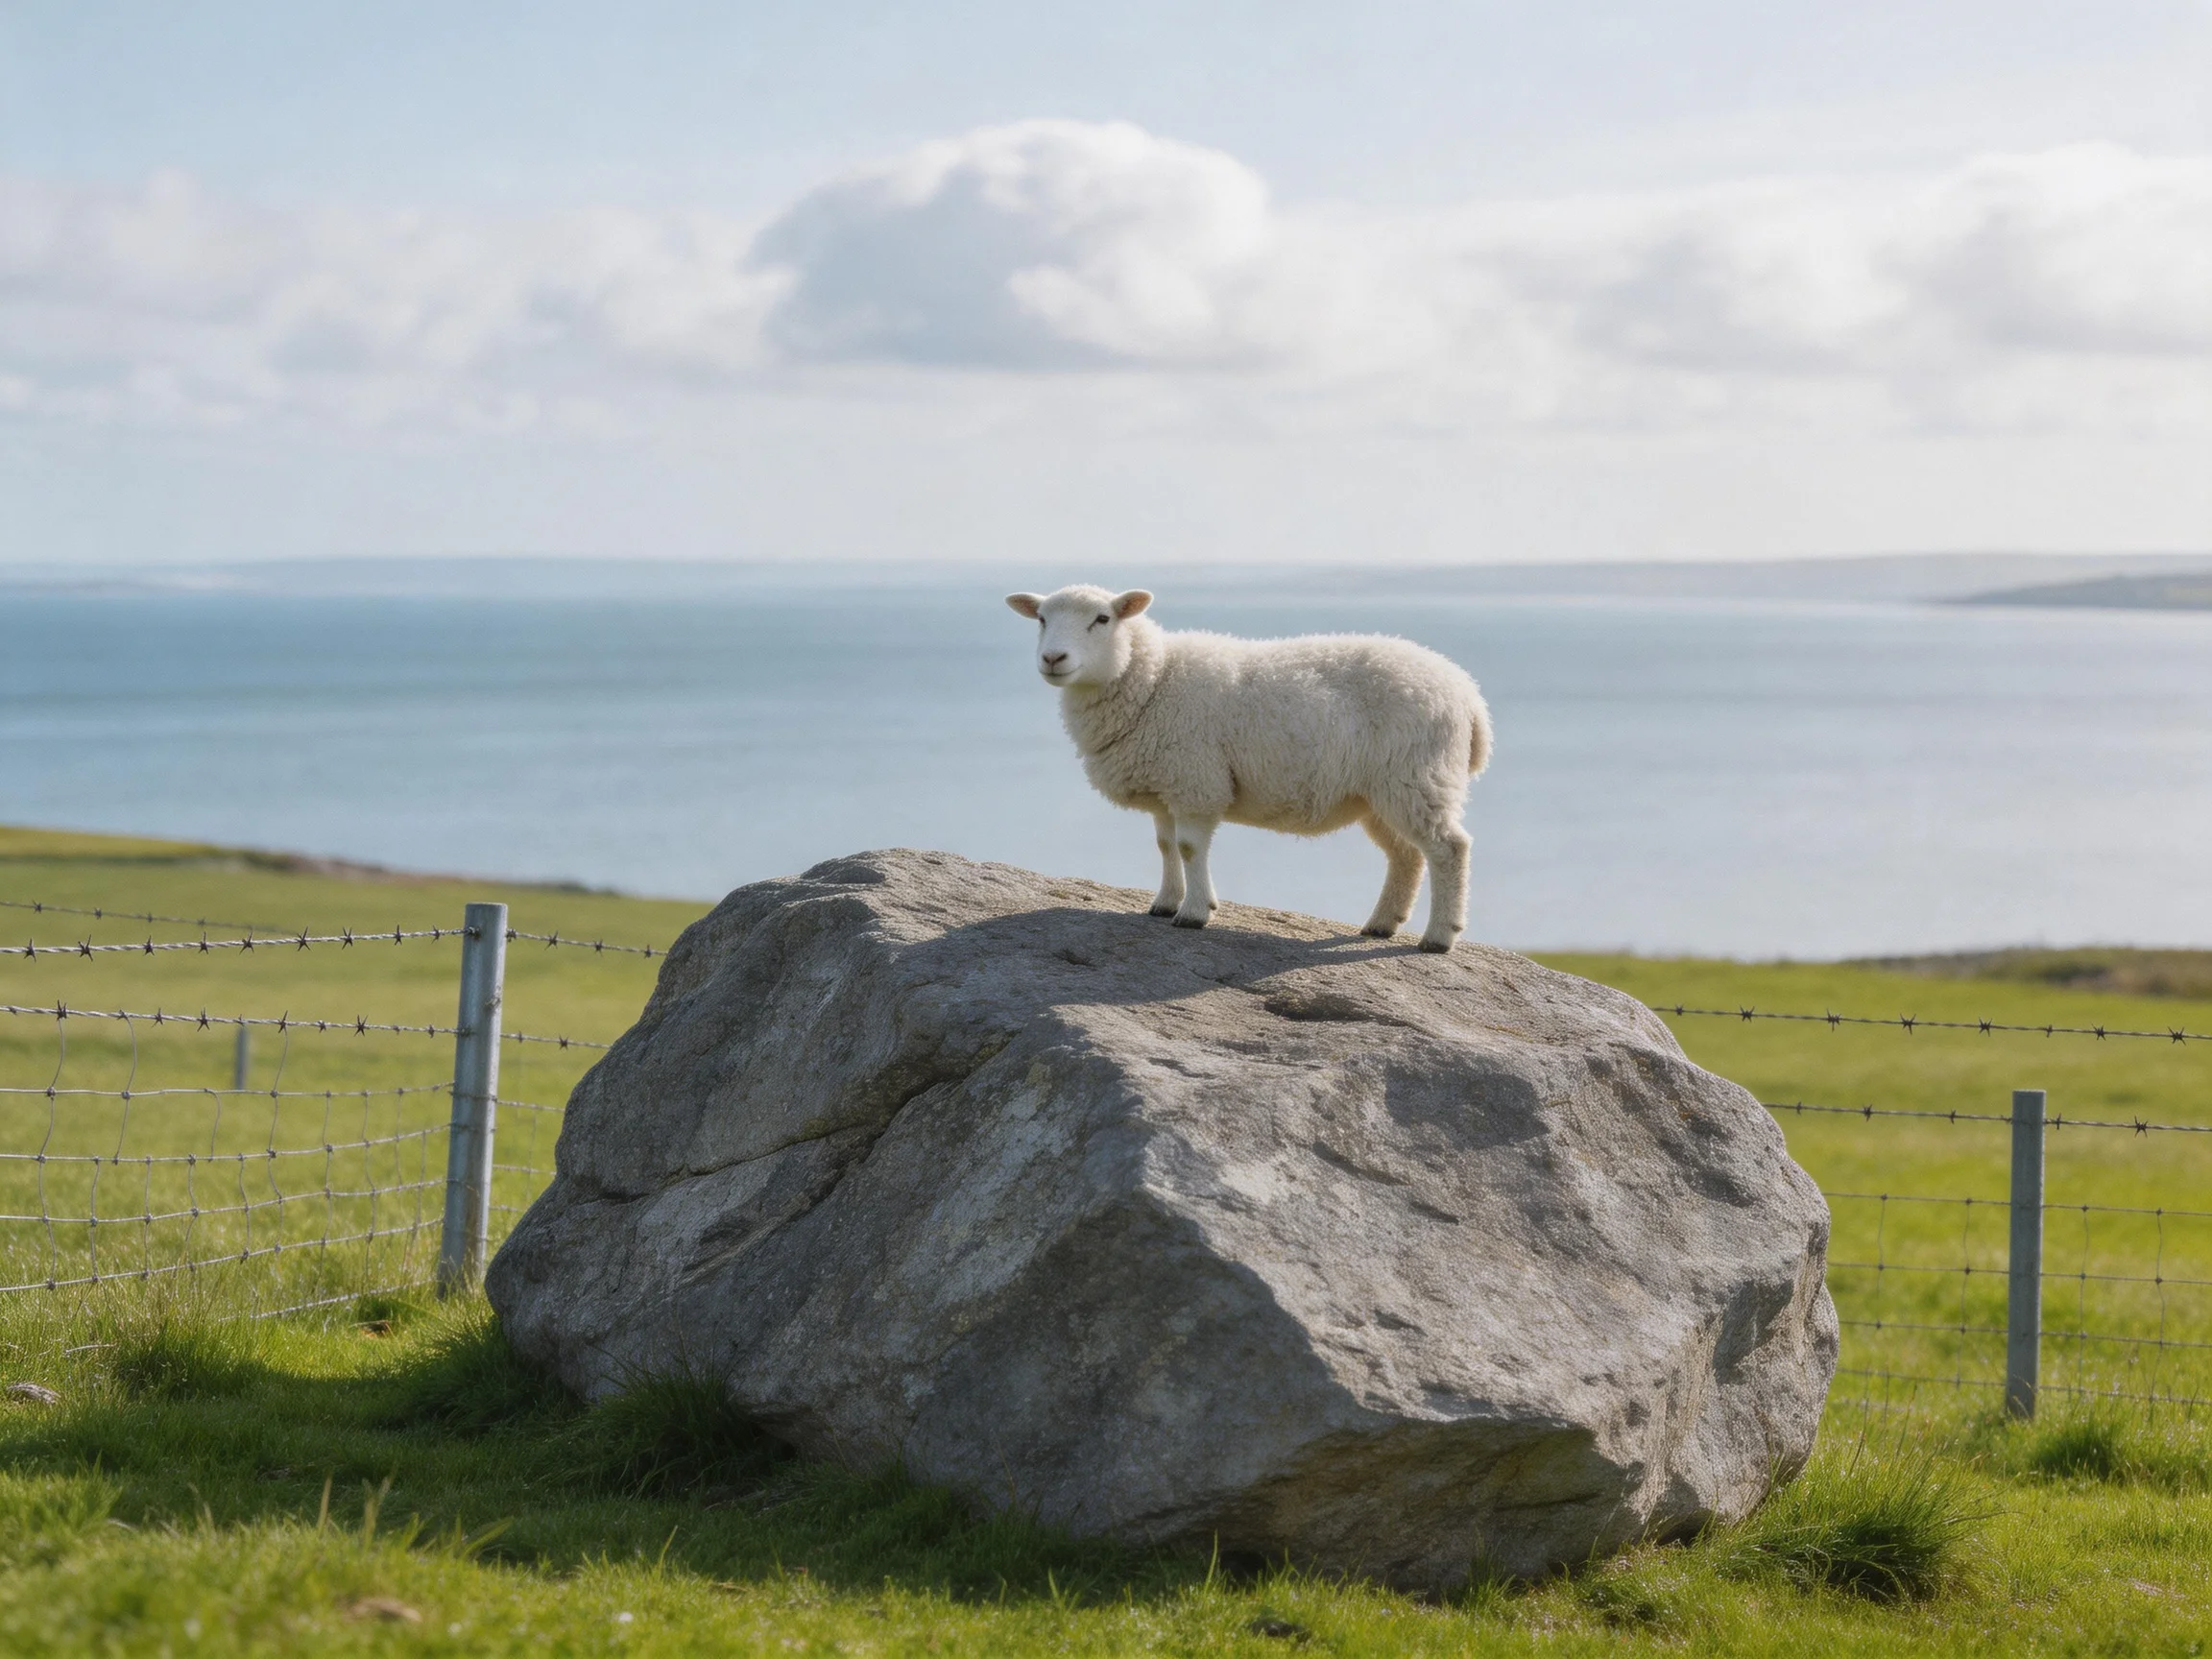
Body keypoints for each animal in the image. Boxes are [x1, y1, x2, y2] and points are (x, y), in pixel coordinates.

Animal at [1005, 584, 1493, 952]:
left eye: (1102, 619)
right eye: (1041, 619)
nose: (1053, 659)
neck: (1153, 678)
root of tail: (1468, 694)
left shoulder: (1196, 780)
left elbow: (1188, 848)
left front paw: (1195, 913)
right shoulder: (1166, 785)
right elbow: (1165, 846)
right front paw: (1164, 903)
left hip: (1417, 776)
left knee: (1449, 849)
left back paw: (1438, 937)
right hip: (1383, 791)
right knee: (1406, 855)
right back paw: (1382, 923)